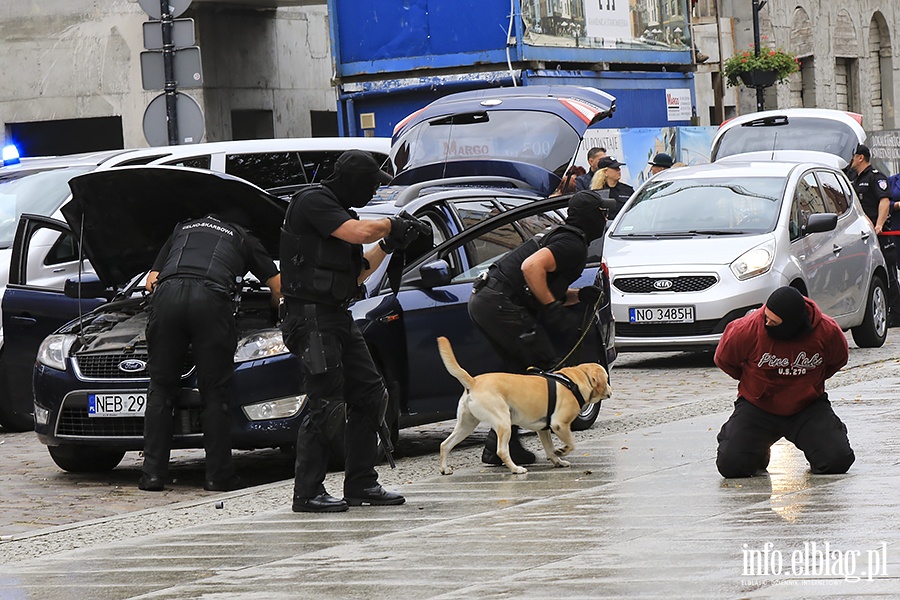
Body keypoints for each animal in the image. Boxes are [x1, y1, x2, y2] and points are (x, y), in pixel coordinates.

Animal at [436, 336, 612, 476]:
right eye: (607, 378)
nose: (611, 390)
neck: (575, 380)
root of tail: (473, 382)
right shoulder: (559, 425)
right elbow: (571, 443)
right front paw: (562, 451)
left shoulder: (543, 429)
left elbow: (549, 448)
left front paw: (558, 461)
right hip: (503, 422)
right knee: (502, 450)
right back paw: (516, 469)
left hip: (466, 425)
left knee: (445, 444)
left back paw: (444, 469)